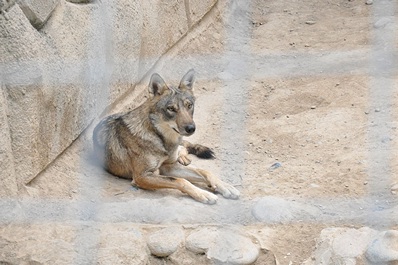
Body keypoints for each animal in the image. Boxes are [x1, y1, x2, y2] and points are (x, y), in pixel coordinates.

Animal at [92, 69, 239, 203]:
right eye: (171, 109)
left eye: (189, 105)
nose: (191, 128)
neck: (162, 140)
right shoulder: (142, 176)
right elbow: (181, 181)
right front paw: (204, 194)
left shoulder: (168, 167)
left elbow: (205, 172)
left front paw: (225, 186)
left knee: (184, 148)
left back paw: (185, 158)